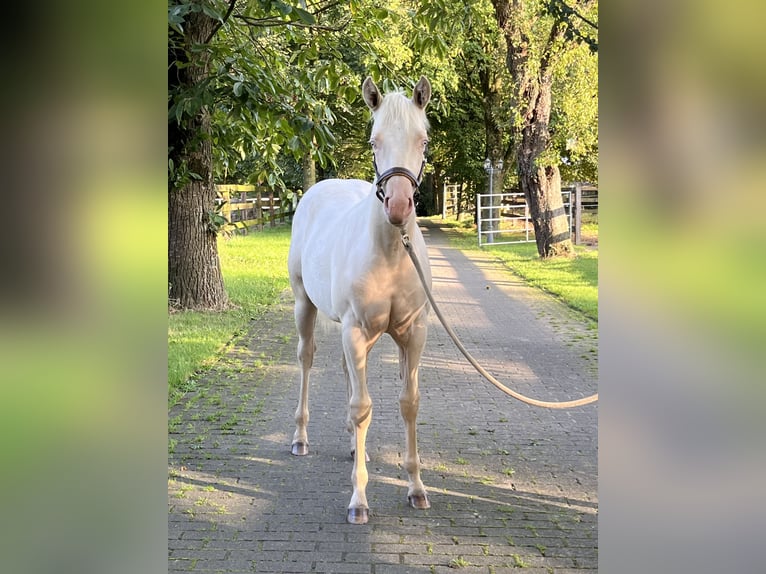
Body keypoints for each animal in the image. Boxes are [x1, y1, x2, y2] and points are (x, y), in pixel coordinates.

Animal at [288, 76, 436, 528]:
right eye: (374, 141)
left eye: (423, 140)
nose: (399, 206)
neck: (390, 252)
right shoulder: (355, 331)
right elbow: (361, 406)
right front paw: (359, 498)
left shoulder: (413, 333)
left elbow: (408, 403)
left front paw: (416, 488)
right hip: (305, 306)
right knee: (307, 360)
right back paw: (300, 437)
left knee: (345, 372)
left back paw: (356, 446)